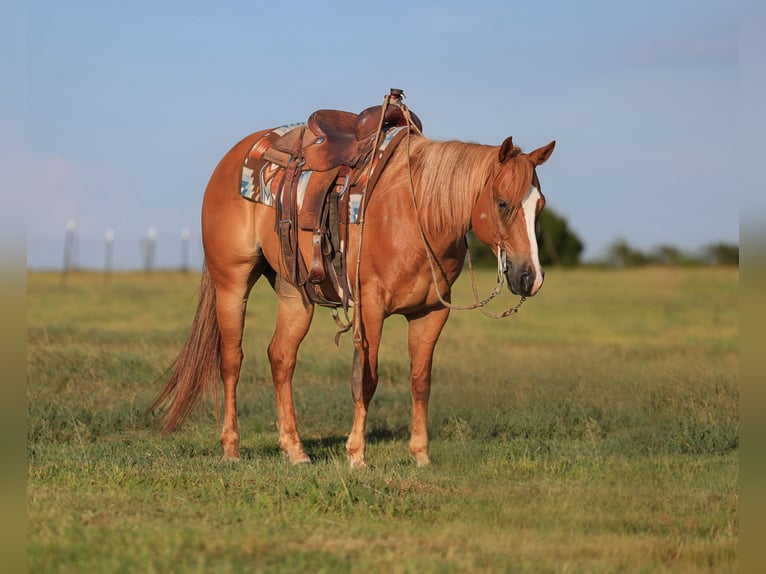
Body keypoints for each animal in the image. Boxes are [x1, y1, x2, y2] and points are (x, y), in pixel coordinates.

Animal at [149, 98, 555, 468]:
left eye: (540, 205)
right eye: (502, 203)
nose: (530, 277)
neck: (418, 211)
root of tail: (230, 160)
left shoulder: (431, 313)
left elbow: (420, 380)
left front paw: (420, 455)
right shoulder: (371, 307)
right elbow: (367, 379)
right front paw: (356, 454)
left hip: (294, 293)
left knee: (281, 357)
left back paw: (295, 451)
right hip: (232, 282)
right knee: (232, 359)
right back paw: (231, 448)